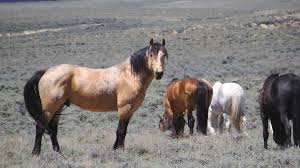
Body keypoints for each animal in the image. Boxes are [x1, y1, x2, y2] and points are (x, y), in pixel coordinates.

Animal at [23, 38, 169, 156]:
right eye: (151, 54)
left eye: (164, 55)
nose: (159, 73)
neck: (130, 75)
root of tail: (46, 72)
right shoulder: (124, 108)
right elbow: (120, 131)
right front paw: (118, 150)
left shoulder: (130, 111)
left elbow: (123, 131)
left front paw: (117, 149)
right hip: (49, 109)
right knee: (40, 127)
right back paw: (36, 153)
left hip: (57, 108)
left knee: (53, 130)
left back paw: (58, 152)